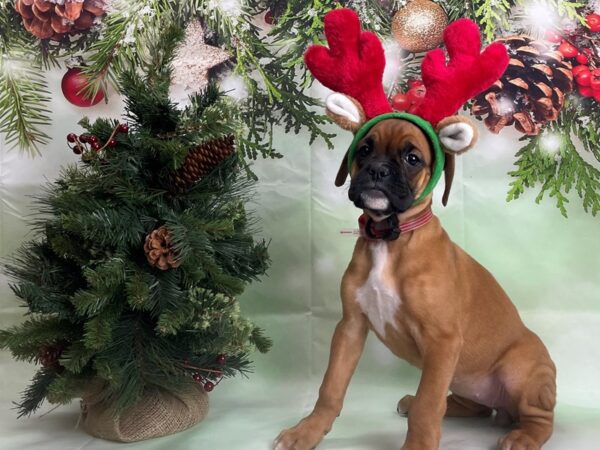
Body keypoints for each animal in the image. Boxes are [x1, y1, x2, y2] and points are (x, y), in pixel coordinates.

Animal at [274, 113, 556, 450]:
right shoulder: (350, 327)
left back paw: (523, 437)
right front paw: (306, 432)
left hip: (518, 371)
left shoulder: (442, 341)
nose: (377, 170)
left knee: (539, 419)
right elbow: (331, 386)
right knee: (470, 405)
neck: (389, 238)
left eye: (412, 159)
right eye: (365, 149)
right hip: (463, 379)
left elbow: (429, 404)